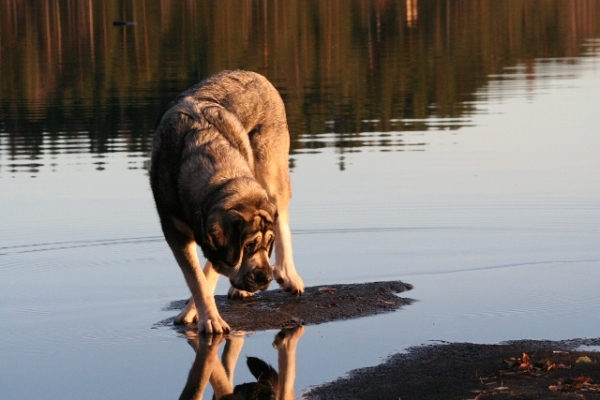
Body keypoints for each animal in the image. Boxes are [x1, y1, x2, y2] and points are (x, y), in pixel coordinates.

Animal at [148, 70, 302, 332]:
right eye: (248, 246)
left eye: (267, 244)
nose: (266, 278)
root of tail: (253, 73)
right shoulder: (176, 232)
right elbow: (197, 278)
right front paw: (207, 317)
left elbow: (210, 272)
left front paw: (199, 313)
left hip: (271, 169)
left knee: (281, 214)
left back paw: (288, 274)